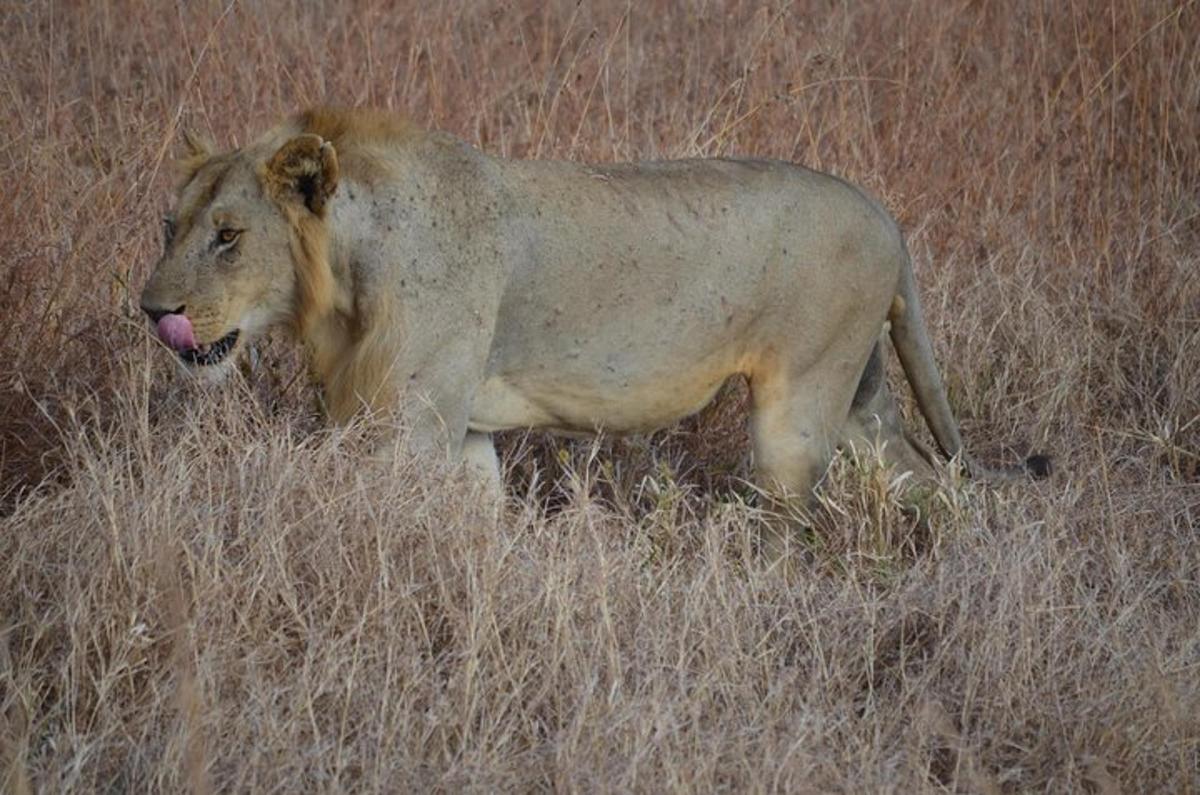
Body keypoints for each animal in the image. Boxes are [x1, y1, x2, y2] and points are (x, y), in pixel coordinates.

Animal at [138, 105, 1041, 506]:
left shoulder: (408, 424)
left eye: (228, 236)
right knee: (926, 475)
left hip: (800, 408)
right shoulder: (463, 430)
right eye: (170, 227)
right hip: (863, 397)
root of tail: (885, 215)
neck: (344, 277)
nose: (149, 311)